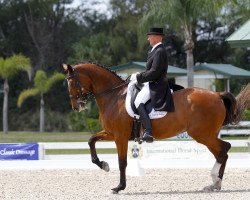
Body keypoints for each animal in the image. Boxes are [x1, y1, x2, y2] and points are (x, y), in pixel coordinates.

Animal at [63, 62, 250, 194]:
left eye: (72, 82)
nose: (76, 107)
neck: (113, 96)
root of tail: (217, 94)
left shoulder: (120, 136)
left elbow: (122, 162)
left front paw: (119, 187)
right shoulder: (111, 133)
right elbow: (91, 140)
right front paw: (103, 165)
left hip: (202, 134)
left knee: (224, 149)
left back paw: (215, 182)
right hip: (208, 134)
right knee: (221, 152)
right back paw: (215, 184)